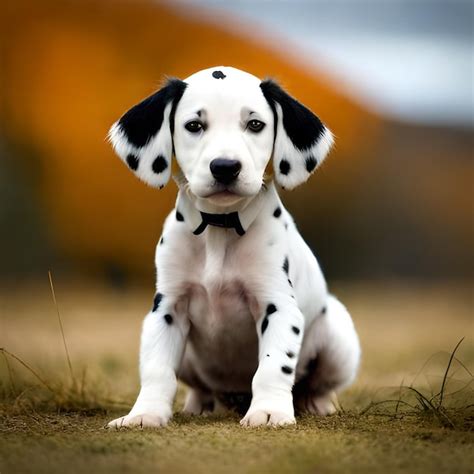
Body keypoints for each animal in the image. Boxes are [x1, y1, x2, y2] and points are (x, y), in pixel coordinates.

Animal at [106, 65, 360, 428]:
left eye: (255, 125)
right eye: (194, 126)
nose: (225, 167)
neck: (219, 227)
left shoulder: (277, 304)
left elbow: (272, 366)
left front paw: (269, 412)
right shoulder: (166, 308)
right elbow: (157, 369)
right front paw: (145, 414)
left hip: (339, 338)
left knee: (319, 384)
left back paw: (316, 403)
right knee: (200, 387)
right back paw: (197, 404)